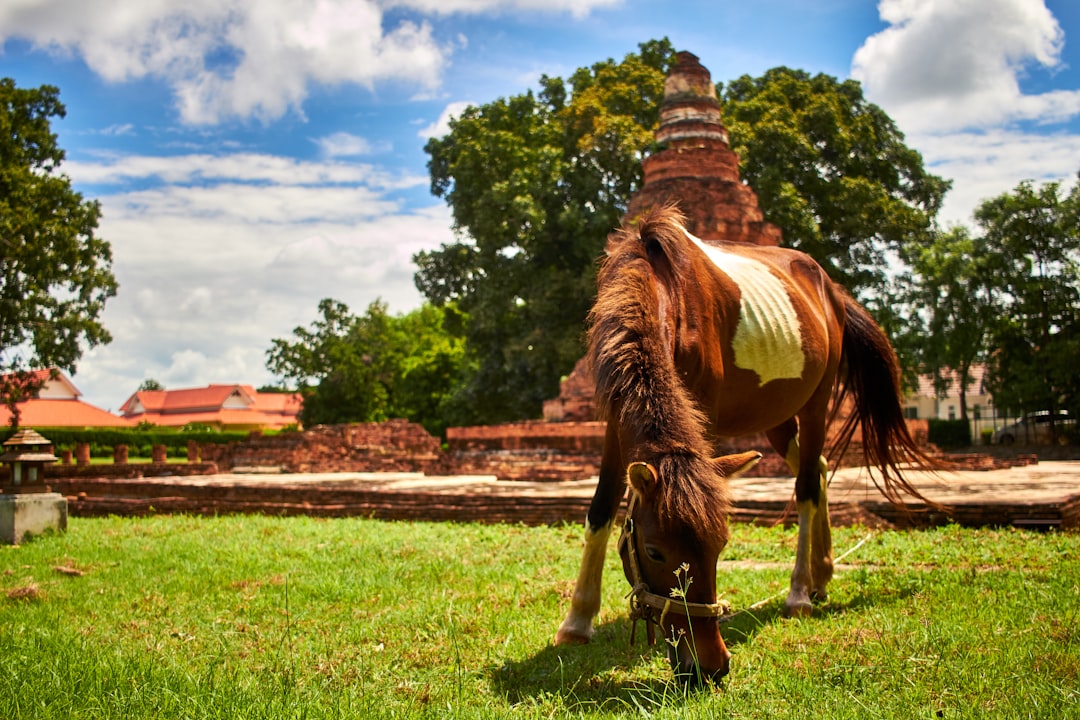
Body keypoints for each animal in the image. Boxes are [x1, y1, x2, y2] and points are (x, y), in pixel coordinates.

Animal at [552, 205, 933, 686]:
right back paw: (822, 572)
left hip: (817, 400)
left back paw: (799, 592)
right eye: (655, 551)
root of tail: (831, 290)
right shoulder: (617, 416)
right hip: (776, 417)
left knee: (807, 486)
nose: (710, 667)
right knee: (819, 467)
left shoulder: (704, 418)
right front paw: (577, 621)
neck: (661, 289)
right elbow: (601, 507)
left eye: (721, 547)